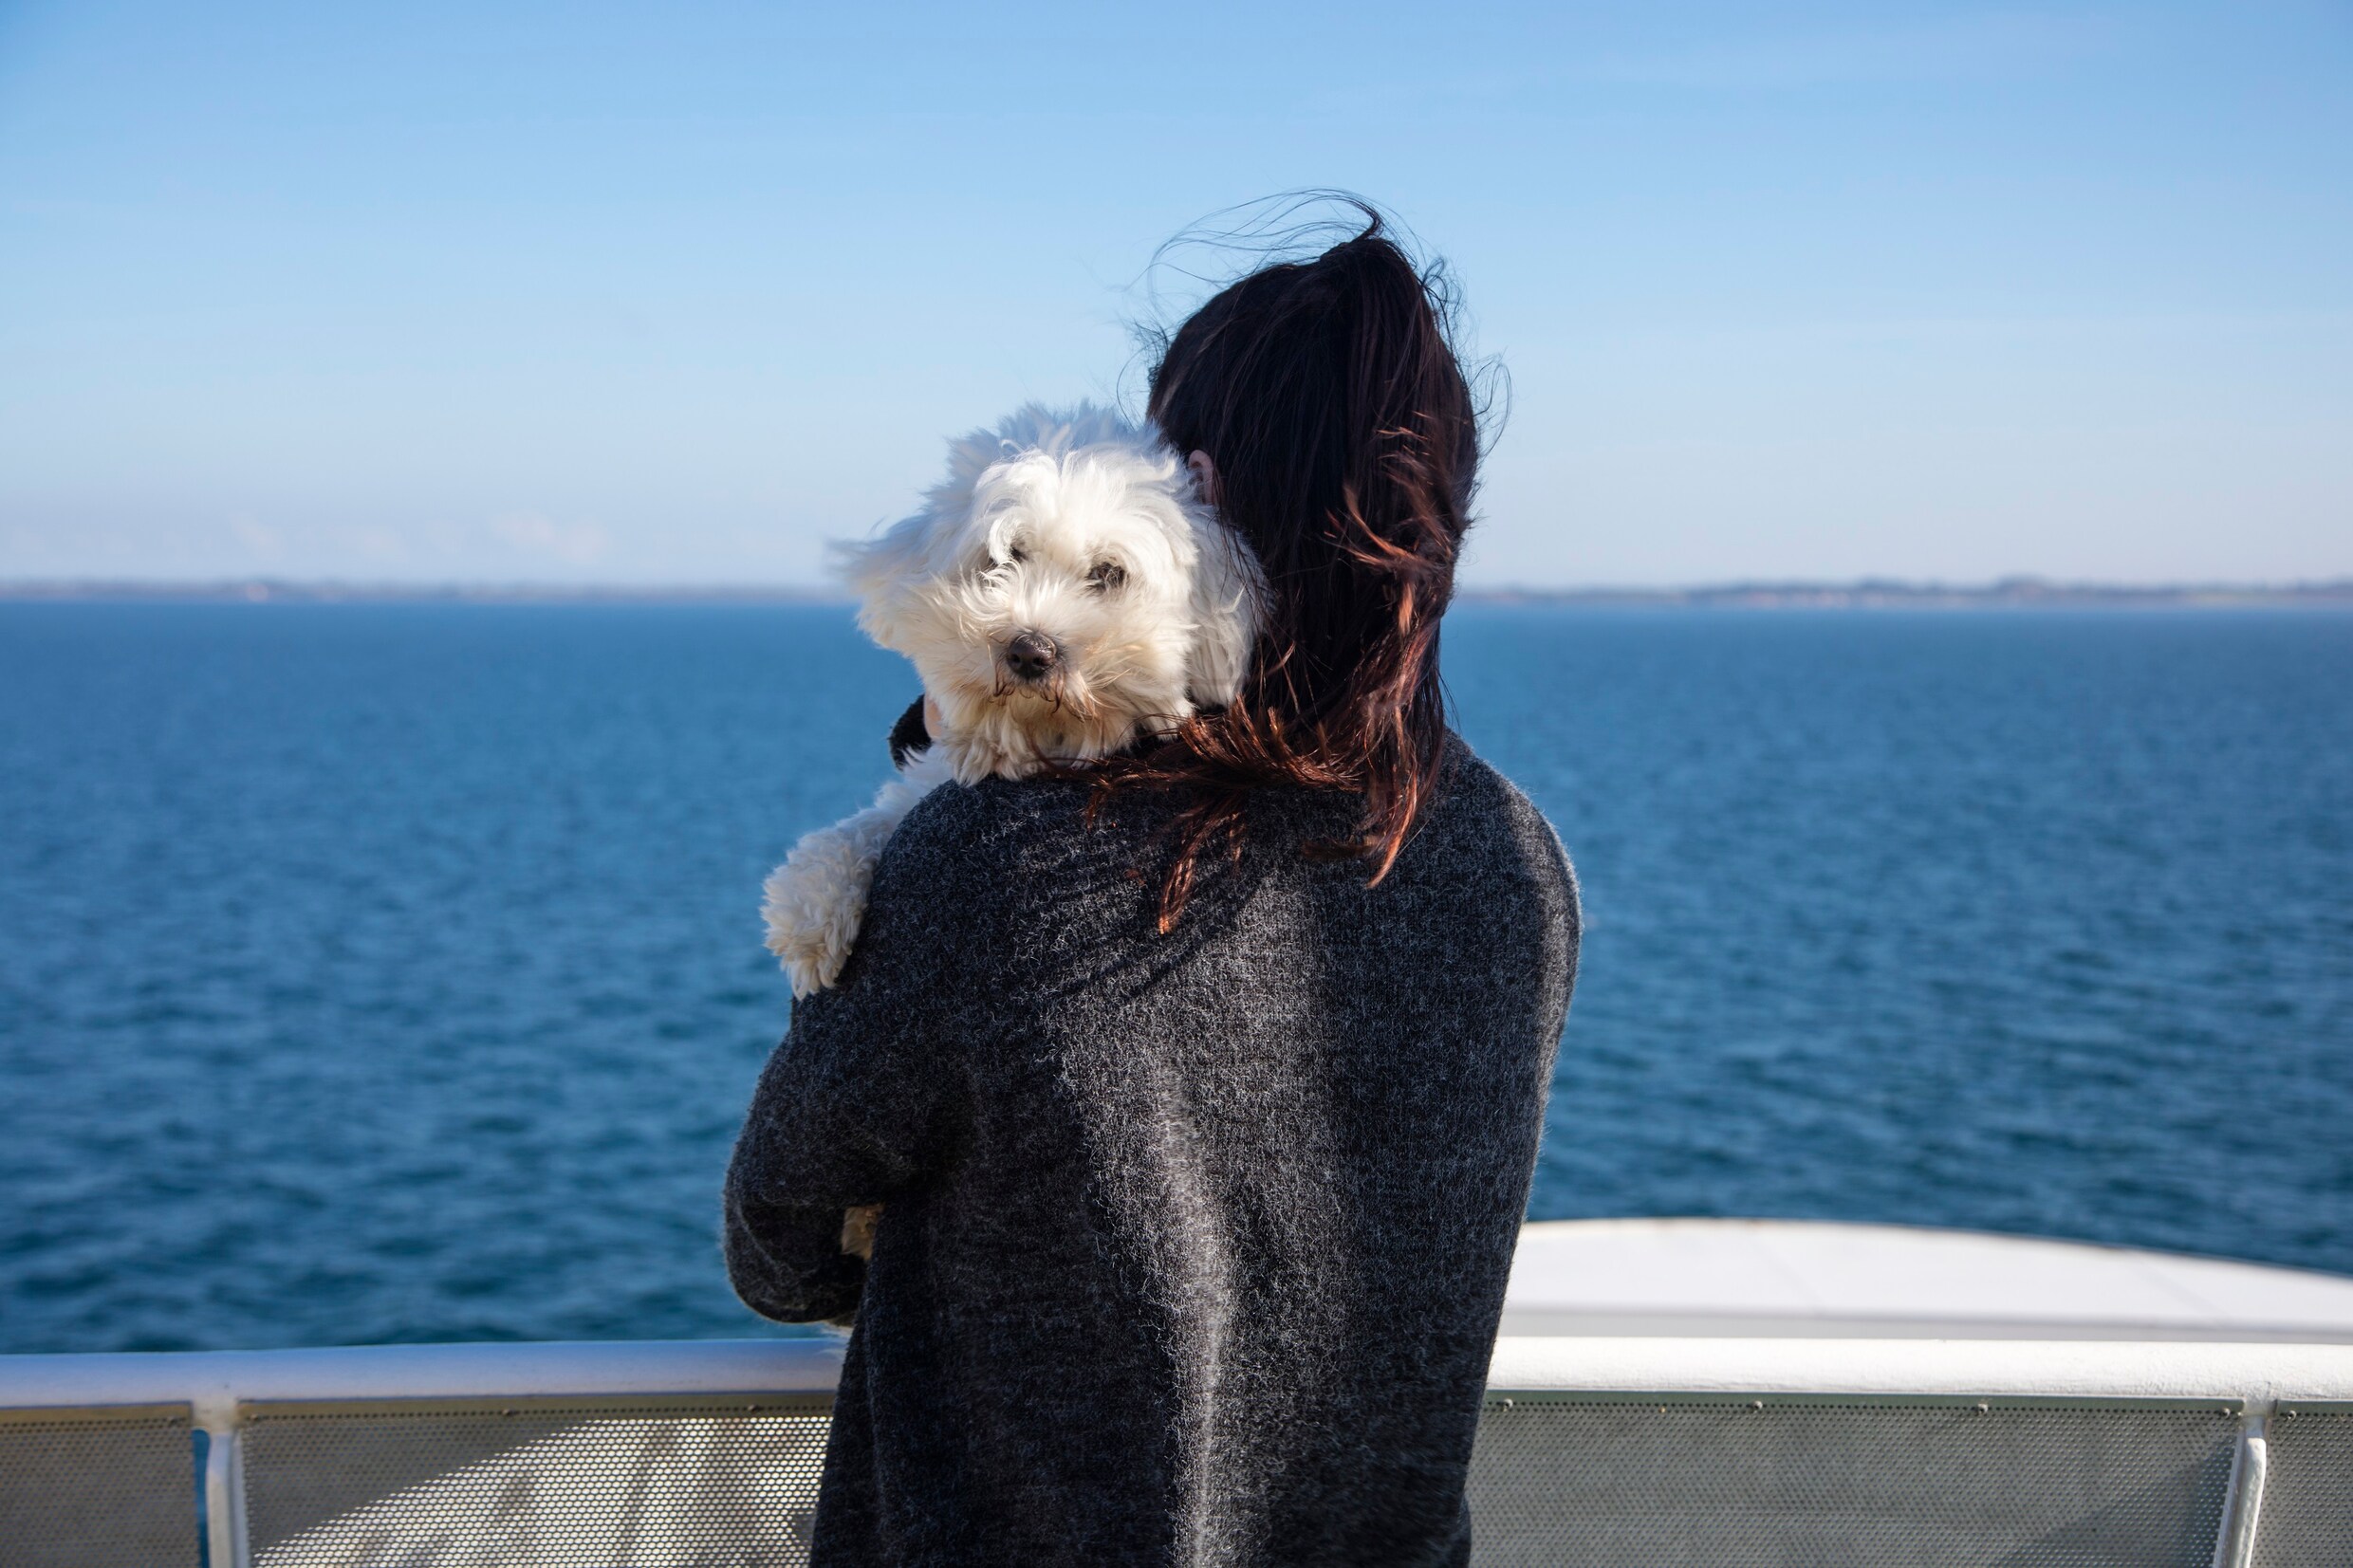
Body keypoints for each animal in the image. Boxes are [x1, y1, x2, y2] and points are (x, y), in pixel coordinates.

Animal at [762, 404, 1261, 991]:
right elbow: (868, 822)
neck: (1035, 739)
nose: (1029, 651)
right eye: (1006, 557)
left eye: (1108, 574)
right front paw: (810, 909)